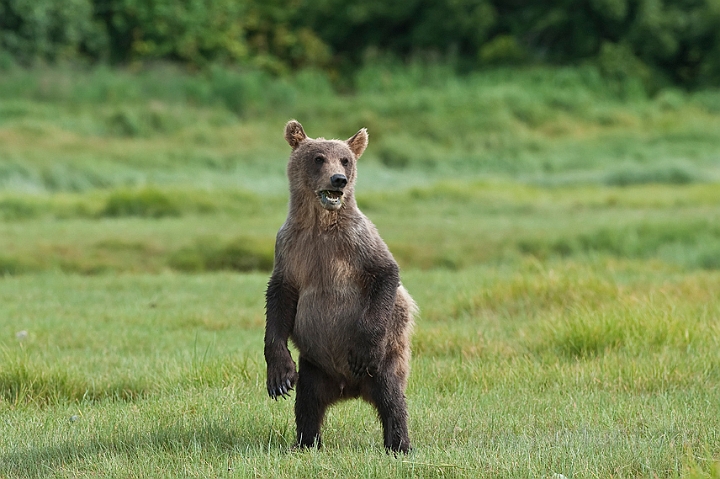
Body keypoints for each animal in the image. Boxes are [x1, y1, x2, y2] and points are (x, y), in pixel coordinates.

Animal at [264, 120, 416, 454]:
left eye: (345, 160)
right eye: (319, 158)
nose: (339, 180)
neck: (319, 225)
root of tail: (349, 388)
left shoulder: (357, 240)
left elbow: (385, 272)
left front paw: (362, 351)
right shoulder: (290, 248)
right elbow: (279, 299)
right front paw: (279, 378)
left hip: (386, 361)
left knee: (391, 398)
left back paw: (399, 444)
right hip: (315, 366)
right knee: (307, 403)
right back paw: (307, 441)